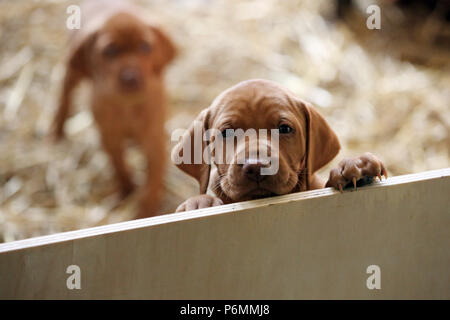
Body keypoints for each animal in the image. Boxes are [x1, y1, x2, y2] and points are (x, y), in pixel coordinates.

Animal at [50, 0, 175, 219]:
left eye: (145, 47)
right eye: (109, 51)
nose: (130, 78)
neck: (128, 107)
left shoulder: (154, 139)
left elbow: (153, 177)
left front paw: (147, 209)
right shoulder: (109, 136)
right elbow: (119, 165)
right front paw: (127, 189)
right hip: (73, 69)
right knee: (65, 95)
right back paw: (57, 130)